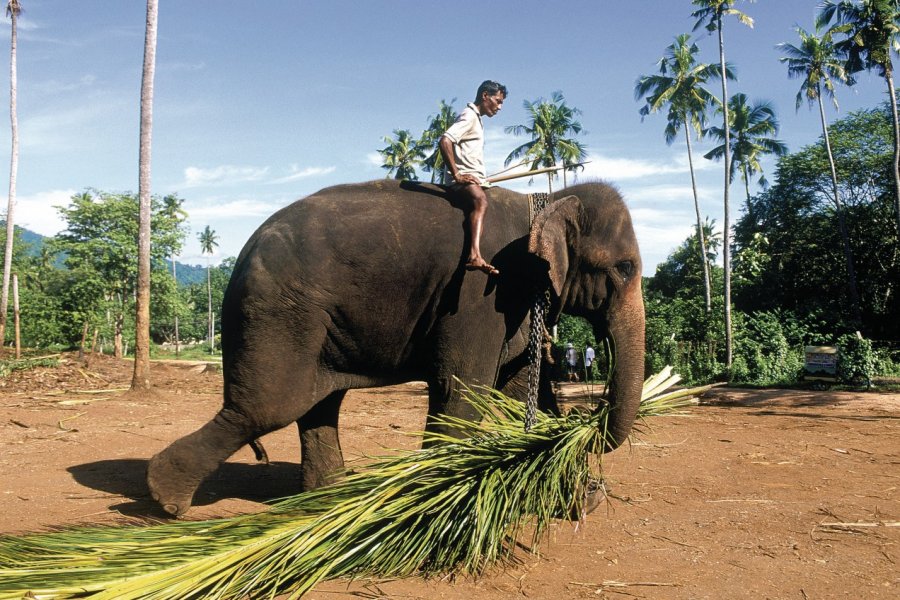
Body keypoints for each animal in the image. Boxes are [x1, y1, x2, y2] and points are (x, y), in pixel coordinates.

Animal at [148, 178, 644, 516]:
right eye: (624, 267)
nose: (585, 415)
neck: (543, 199)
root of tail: (243, 248)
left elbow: (511, 390)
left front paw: (568, 493)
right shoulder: (480, 291)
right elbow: (462, 389)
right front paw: (438, 504)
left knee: (318, 402)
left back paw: (328, 499)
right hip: (279, 309)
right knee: (269, 406)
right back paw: (164, 498)